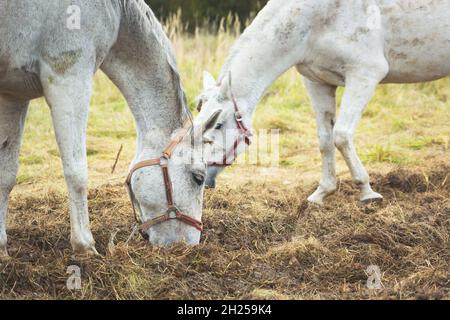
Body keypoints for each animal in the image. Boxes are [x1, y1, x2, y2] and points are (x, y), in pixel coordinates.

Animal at [0, 0, 218, 258]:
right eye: (198, 178)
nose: (190, 245)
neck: (115, 10)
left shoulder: (13, 95)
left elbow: (6, 175)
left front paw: (2, 248)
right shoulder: (68, 78)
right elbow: (77, 172)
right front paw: (85, 246)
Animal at [196, 0, 450, 205]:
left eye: (218, 124)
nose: (202, 176)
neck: (314, 19)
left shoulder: (365, 74)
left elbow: (342, 136)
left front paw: (367, 192)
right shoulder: (317, 82)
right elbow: (325, 140)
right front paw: (322, 193)